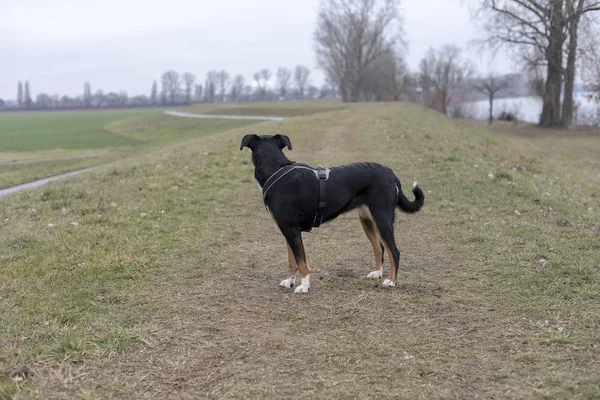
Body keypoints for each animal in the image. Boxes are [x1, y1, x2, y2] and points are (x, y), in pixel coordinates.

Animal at [239, 133, 422, 292]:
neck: (276, 170)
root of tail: (390, 173)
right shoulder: (288, 230)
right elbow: (292, 260)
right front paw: (290, 281)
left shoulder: (292, 229)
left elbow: (301, 261)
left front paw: (304, 286)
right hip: (367, 220)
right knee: (379, 247)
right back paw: (377, 273)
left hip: (382, 219)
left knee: (394, 251)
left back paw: (391, 281)